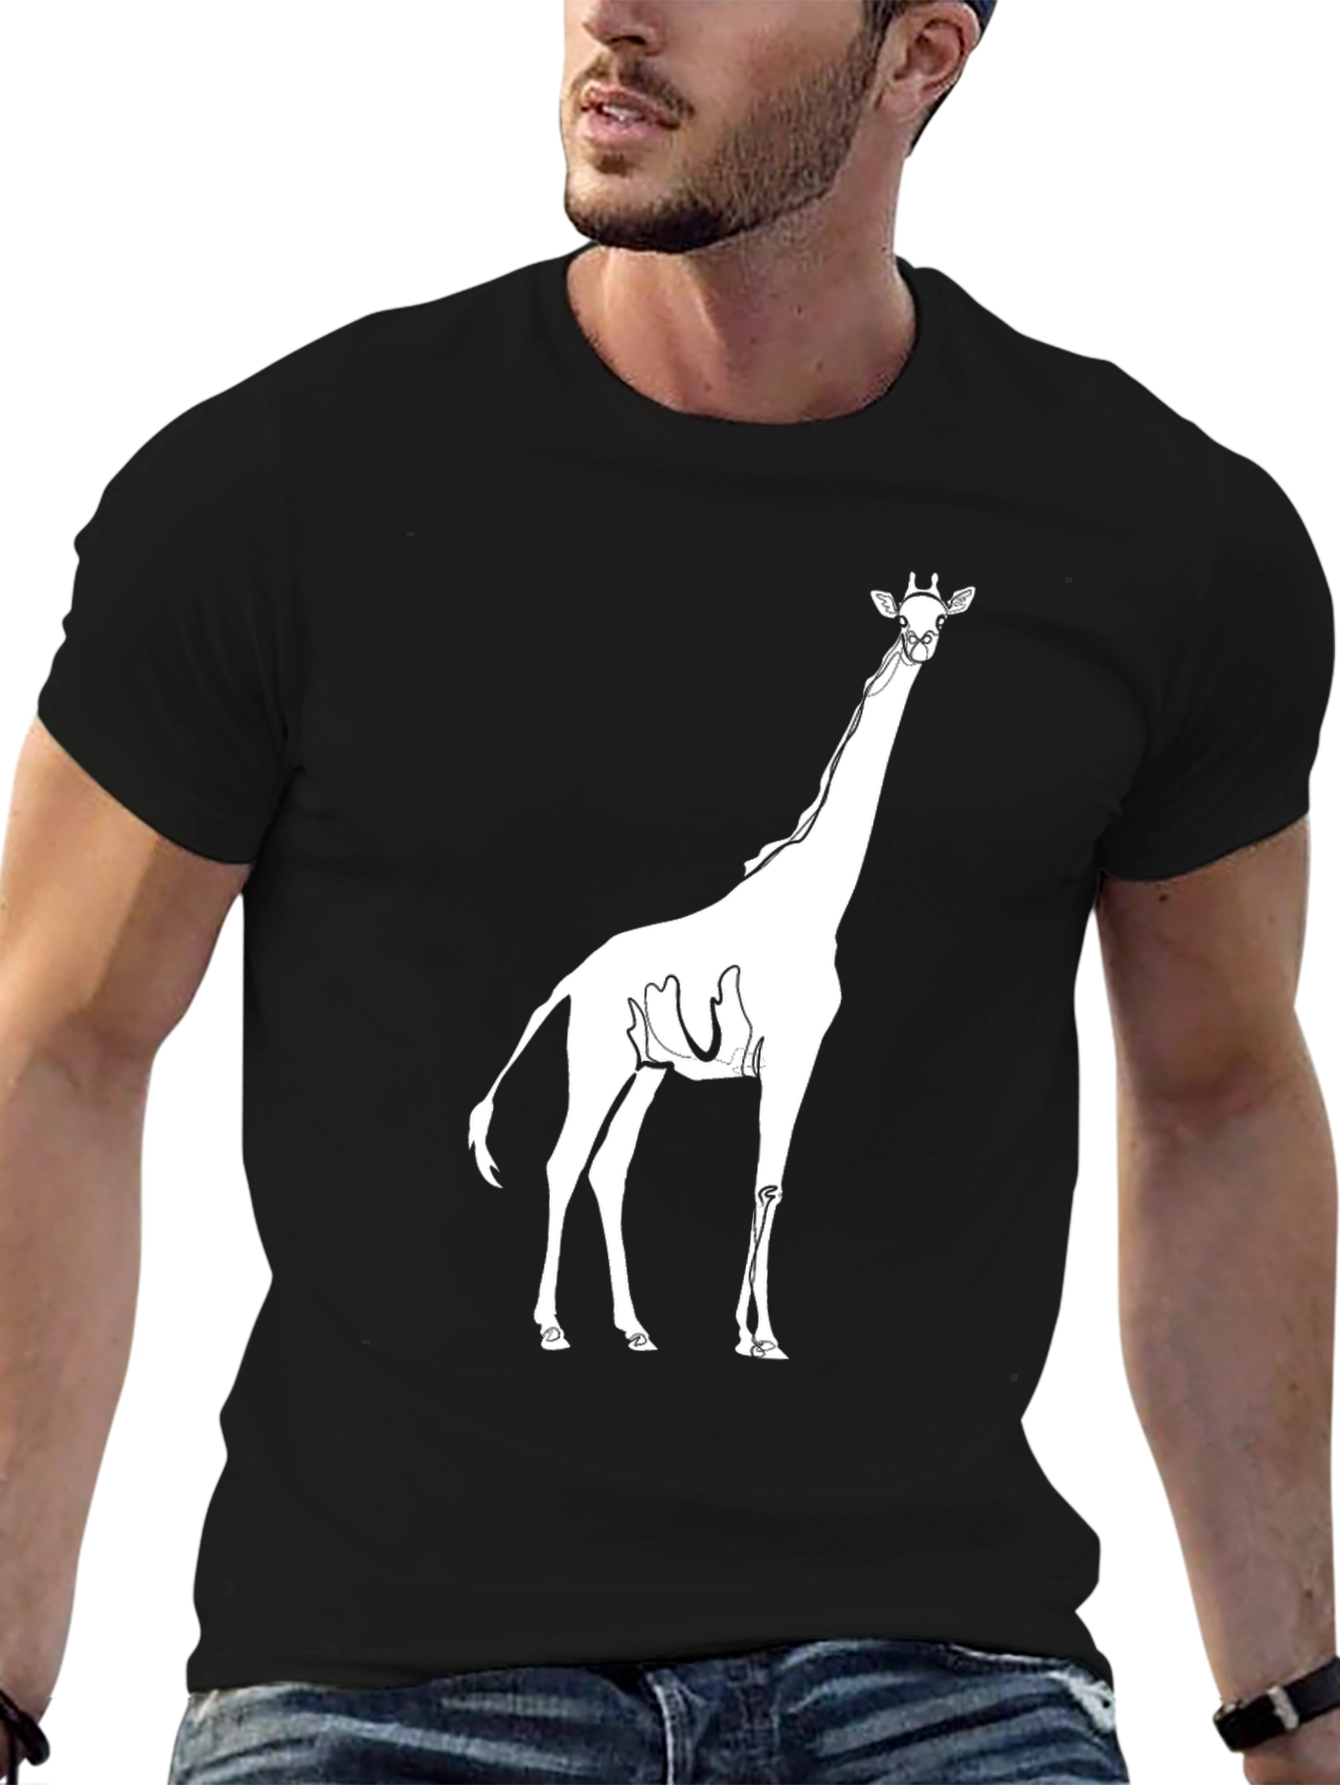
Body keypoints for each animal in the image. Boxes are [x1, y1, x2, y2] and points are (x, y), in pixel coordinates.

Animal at [468, 574, 975, 1359]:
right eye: (904, 620)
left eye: (940, 620)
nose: (922, 644)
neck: (814, 900)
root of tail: (573, 980)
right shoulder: (792, 1053)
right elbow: (767, 1184)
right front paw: (761, 1335)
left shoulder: (790, 1057)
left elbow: (766, 1184)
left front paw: (745, 1329)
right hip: (600, 1058)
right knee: (564, 1160)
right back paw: (552, 1324)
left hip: (648, 1067)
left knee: (609, 1167)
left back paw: (634, 1327)